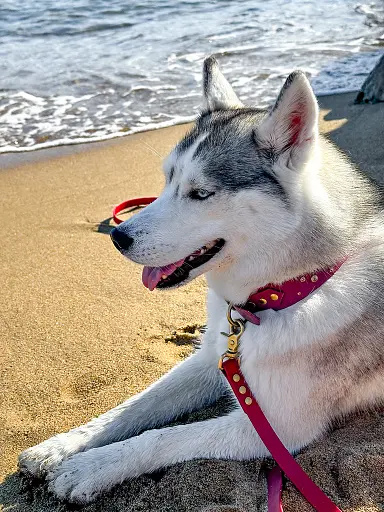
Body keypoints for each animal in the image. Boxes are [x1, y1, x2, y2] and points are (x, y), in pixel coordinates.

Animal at [18, 57, 384, 504]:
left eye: (201, 193)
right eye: (167, 180)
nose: (119, 237)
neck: (286, 292)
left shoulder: (276, 428)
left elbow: (159, 437)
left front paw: (90, 467)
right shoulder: (214, 356)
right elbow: (136, 405)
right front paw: (61, 446)